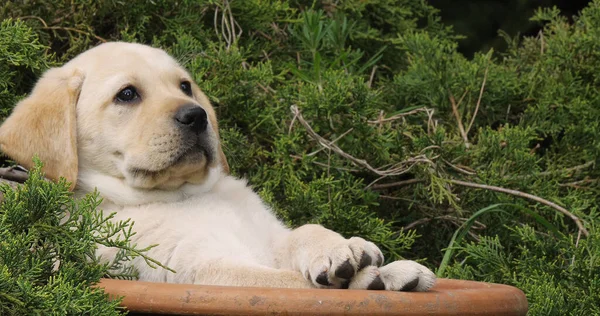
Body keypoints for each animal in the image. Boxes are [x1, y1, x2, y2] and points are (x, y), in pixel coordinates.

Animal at [0, 42, 434, 292]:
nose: (197, 116)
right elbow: (286, 283)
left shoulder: (266, 237)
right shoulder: (199, 269)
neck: (181, 194)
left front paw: (353, 252)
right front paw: (365, 278)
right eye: (127, 95)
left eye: (185, 86)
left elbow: (301, 232)